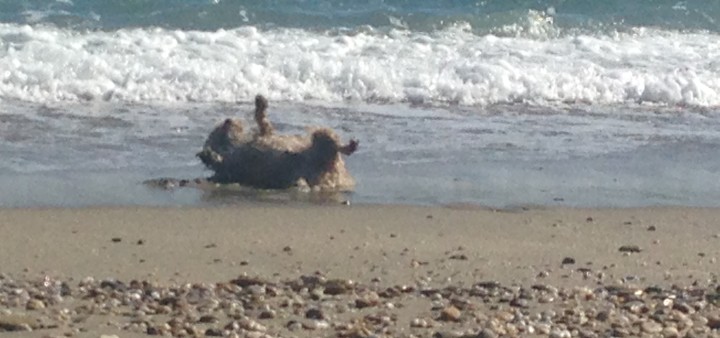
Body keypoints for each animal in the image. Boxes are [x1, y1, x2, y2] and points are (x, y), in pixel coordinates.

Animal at [198, 95, 358, 190]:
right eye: (216, 132)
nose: (228, 120)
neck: (233, 146)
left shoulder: (265, 133)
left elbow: (263, 121)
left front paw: (260, 102)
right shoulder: (229, 167)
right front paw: (208, 155)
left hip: (320, 141)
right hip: (322, 144)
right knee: (332, 145)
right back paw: (349, 146)